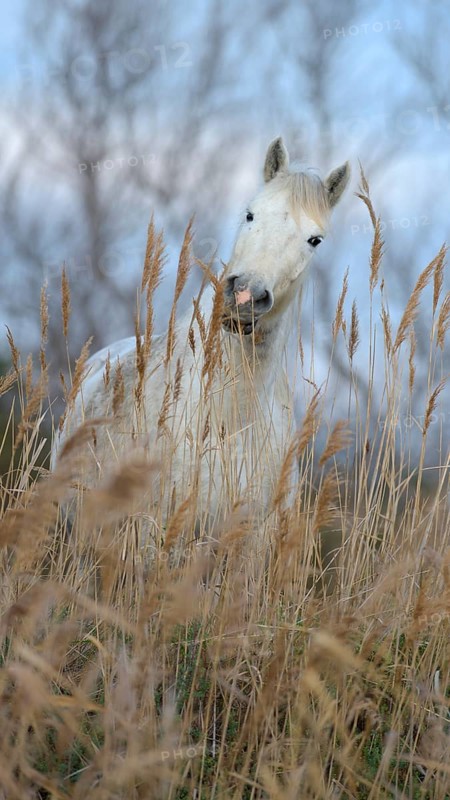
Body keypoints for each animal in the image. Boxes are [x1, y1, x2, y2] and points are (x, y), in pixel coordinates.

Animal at [53, 137, 350, 562]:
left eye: (315, 240)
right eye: (250, 214)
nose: (245, 296)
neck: (230, 418)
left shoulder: (252, 549)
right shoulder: (156, 540)